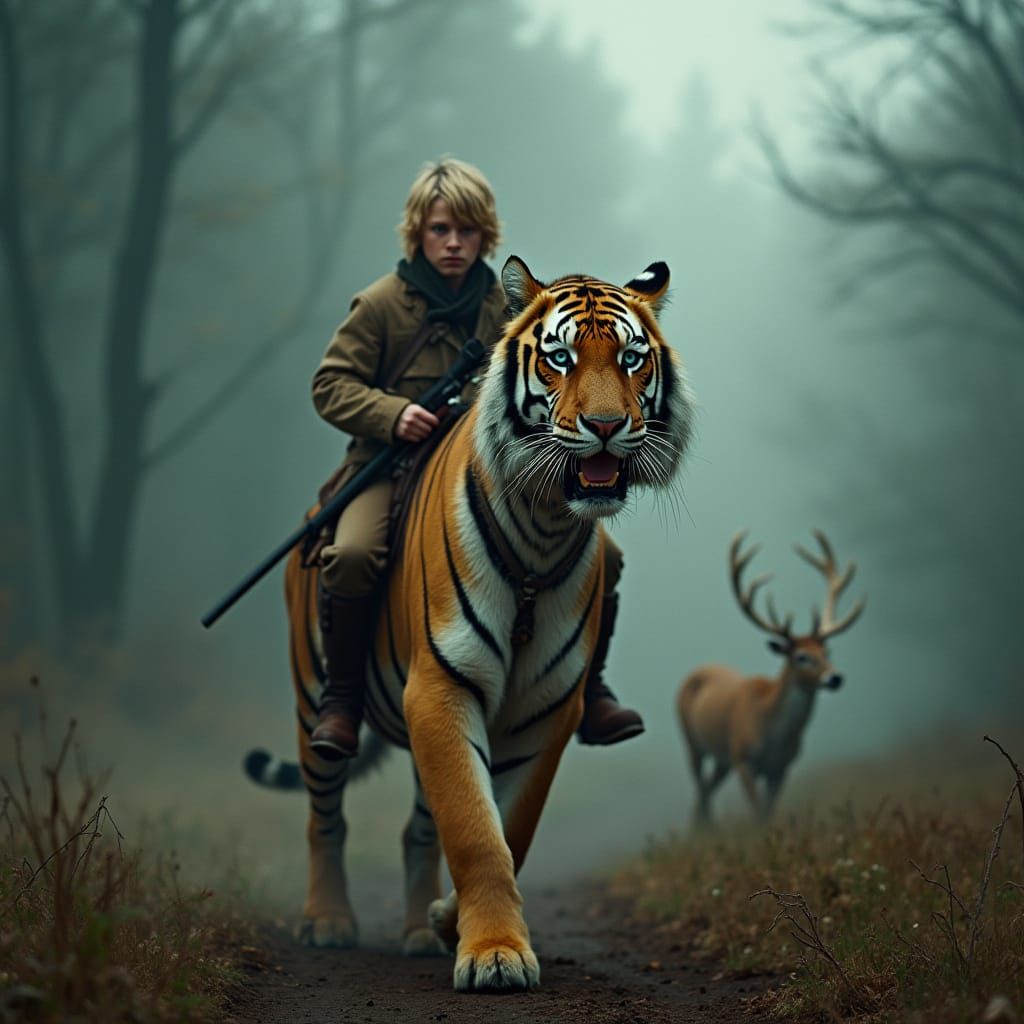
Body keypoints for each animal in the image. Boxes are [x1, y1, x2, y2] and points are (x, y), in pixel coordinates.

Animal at [247, 254, 695, 992]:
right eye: (560, 358)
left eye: (632, 359)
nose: (606, 425)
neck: (545, 527)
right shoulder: (441, 688)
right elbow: (475, 829)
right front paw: (494, 955)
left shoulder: (547, 709)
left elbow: (509, 827)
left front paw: (448, 922)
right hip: (314, 694)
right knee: (325, 816)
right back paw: (329, 922)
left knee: (415, 830)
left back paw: (414, 934)